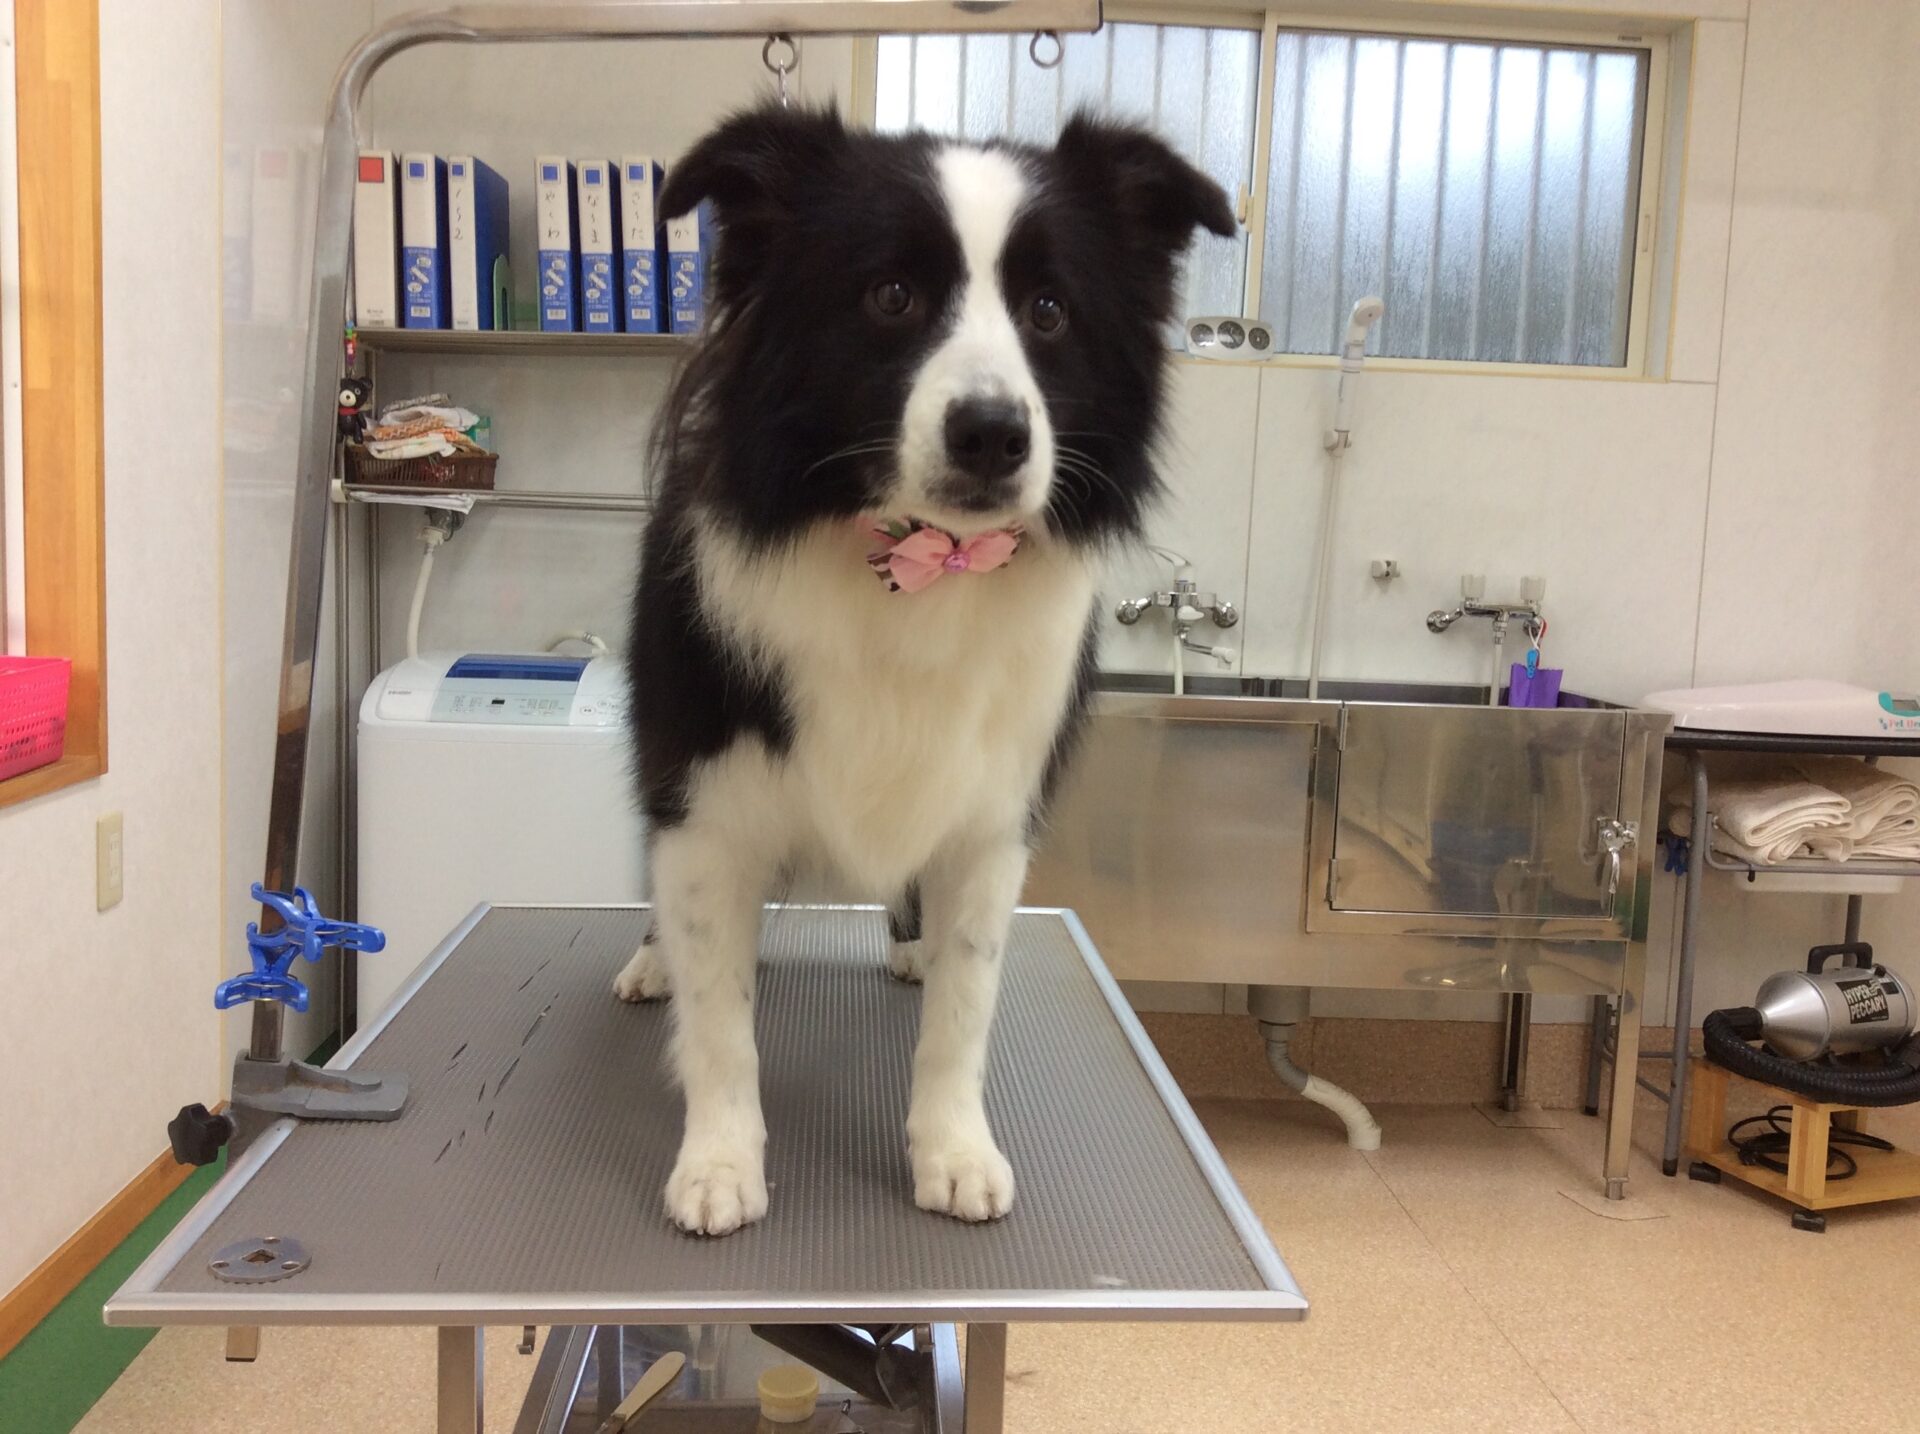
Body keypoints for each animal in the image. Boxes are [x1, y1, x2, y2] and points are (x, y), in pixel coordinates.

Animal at [615, 104, 1233, 1235]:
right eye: (891, 296)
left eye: (1049, 311)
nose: (993, 432)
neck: (915, 564)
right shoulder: (703, 797)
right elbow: (720, 1016)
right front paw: (719, 1161)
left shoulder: (991, 818)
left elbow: (965, 1005)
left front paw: (952, 1150)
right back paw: (650, 965)